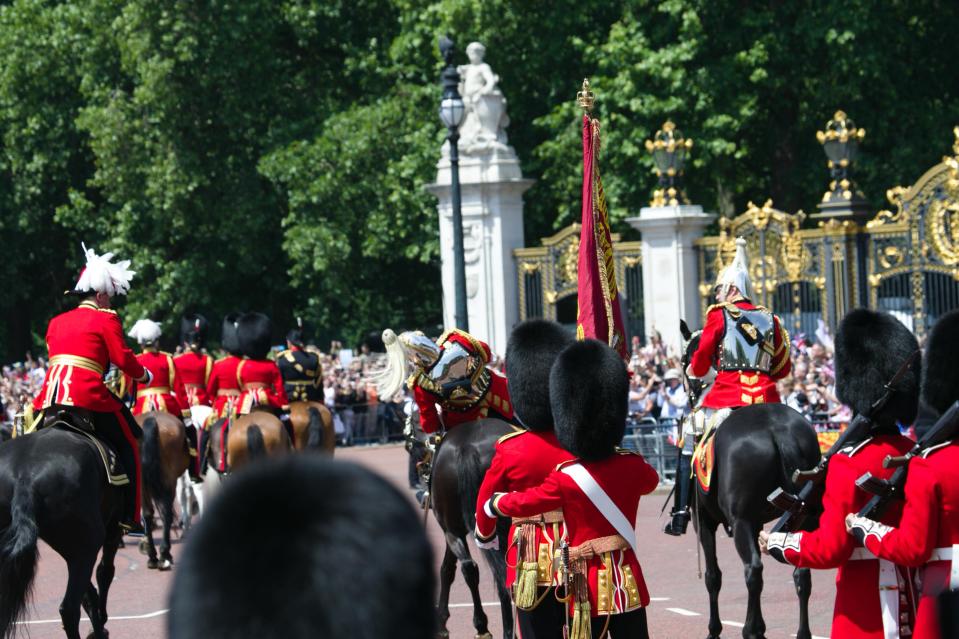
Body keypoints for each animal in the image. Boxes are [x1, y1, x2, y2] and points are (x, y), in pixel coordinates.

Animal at [0, 422, 124, 636]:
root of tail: (25, 478)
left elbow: (90, 590)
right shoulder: (112, 528)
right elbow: (104, 572)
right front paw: (101, 622)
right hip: (87, 545)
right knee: (69, 609)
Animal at [680, 322, 820, 639]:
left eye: (684, 360)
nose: (691, 397)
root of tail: (779, 431)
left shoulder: (704, 521)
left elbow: (713, 576)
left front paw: (714, 629)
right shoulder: (756, 520)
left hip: (740, 521)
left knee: (753, 571)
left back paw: (750, 630)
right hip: (804, 517)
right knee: (802, 571)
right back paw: (801, 632)